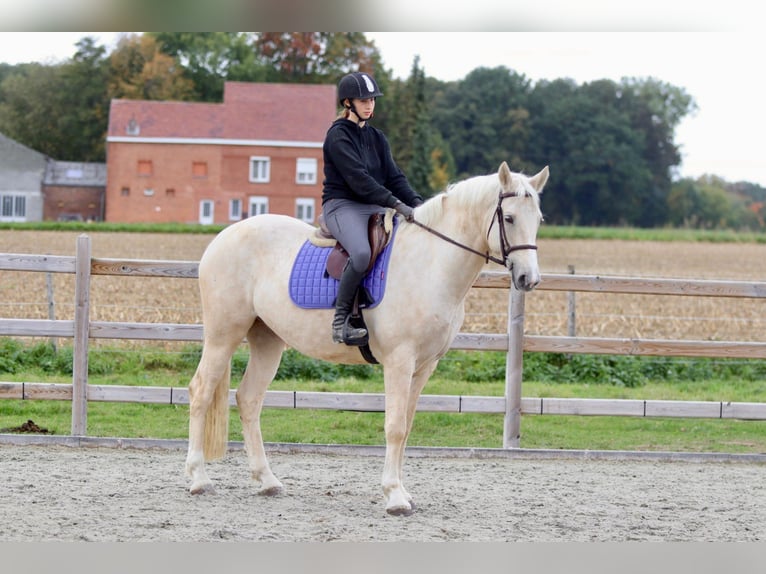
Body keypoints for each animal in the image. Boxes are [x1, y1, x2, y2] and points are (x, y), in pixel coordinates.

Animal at [185, 161, 549, 515]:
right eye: (509, 218)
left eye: (538, 220)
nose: (528, 279)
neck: (430, 264)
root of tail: (224, 236)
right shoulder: (400, 361)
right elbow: (395, 426)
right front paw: (395, 497)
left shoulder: (425, 366)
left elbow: (407, 426)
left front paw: (403, 492)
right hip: (223, 335)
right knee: (200, 392)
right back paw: (199, 479)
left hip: (267, 340)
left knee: (248, 399)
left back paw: (267, 480)